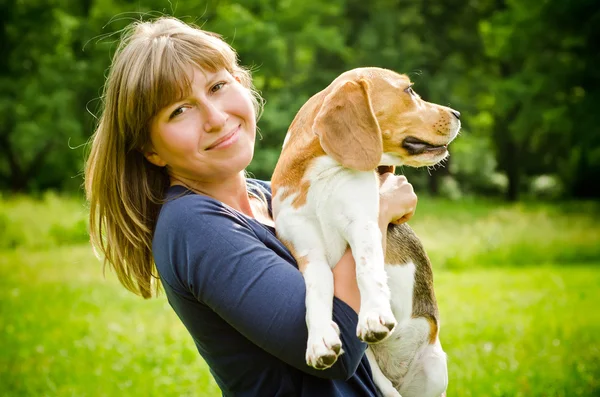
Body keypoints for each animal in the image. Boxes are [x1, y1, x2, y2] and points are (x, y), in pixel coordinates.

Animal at [272, 66, 460, 394]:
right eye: (409, 90)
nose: (458, 114)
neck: (320, 174)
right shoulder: (308, 250)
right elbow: (315, 293)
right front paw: (319, 339)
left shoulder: (363, 223)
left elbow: (366, 269)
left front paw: (374, 315)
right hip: (374, 366)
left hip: (434, 369)